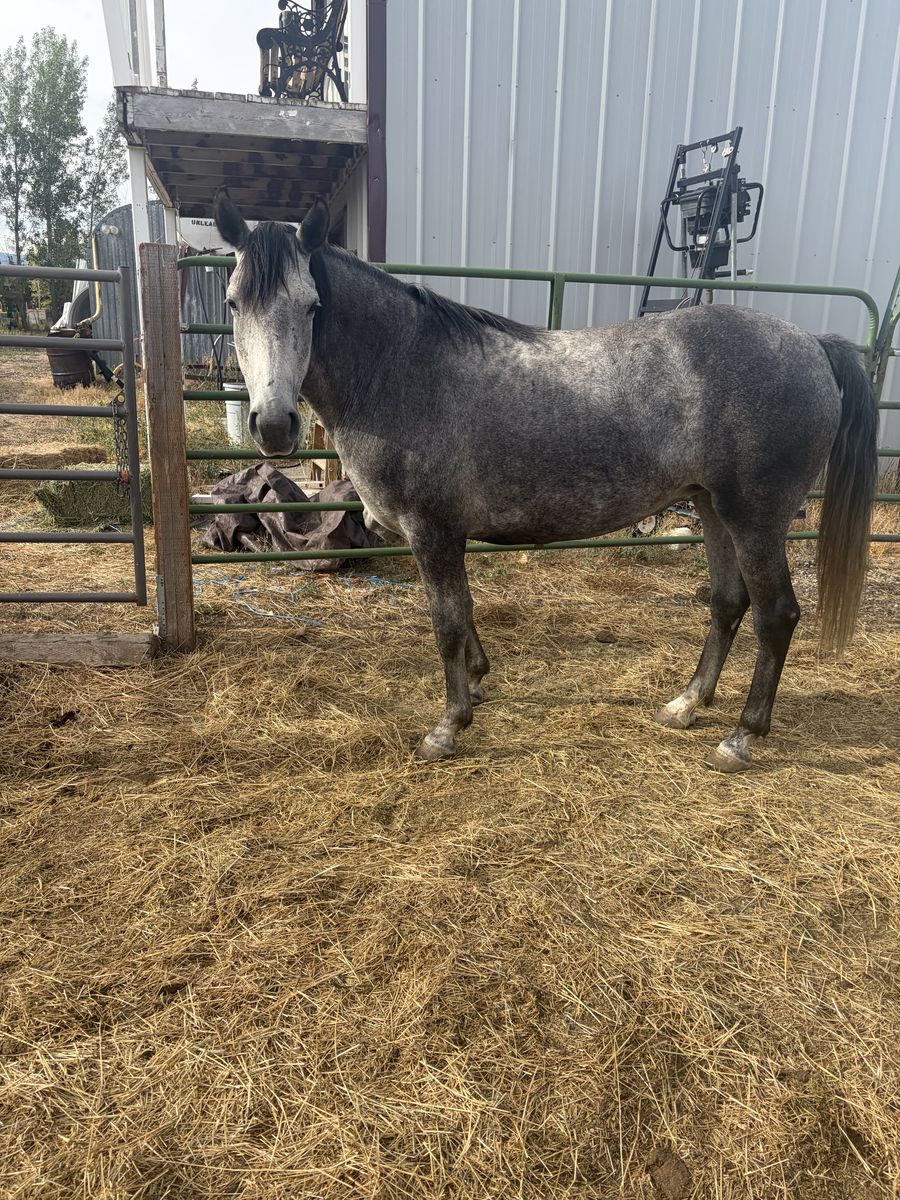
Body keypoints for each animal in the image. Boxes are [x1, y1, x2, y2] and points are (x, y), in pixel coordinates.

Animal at [213, 191, 877, 773]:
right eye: (234, 303)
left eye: (311, 305)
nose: (273, 424)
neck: (404, 369)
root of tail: (813, 344)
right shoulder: (449, 535)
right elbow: (466, 613)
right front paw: (478, 682)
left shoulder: (431, 531)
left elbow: (446, 621)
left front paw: (447, 726)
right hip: (714, 511)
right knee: (727, 603)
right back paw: (687, 704)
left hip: (755, 517)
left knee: (776, 615)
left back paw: (741, 737)